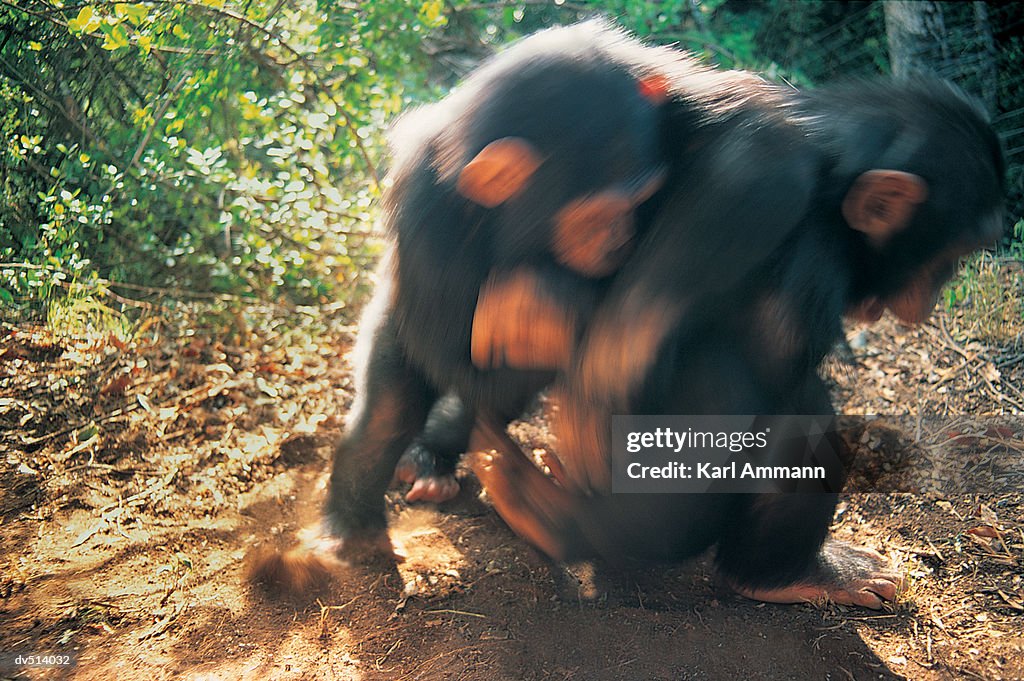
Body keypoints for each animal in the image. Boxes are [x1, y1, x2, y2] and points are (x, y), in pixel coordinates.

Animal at [471, 76, 1007, 606]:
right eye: (950, 257)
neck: (831, 172)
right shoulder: (765, 189)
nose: (936, 291)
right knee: (788, 402)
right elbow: (625, 356)